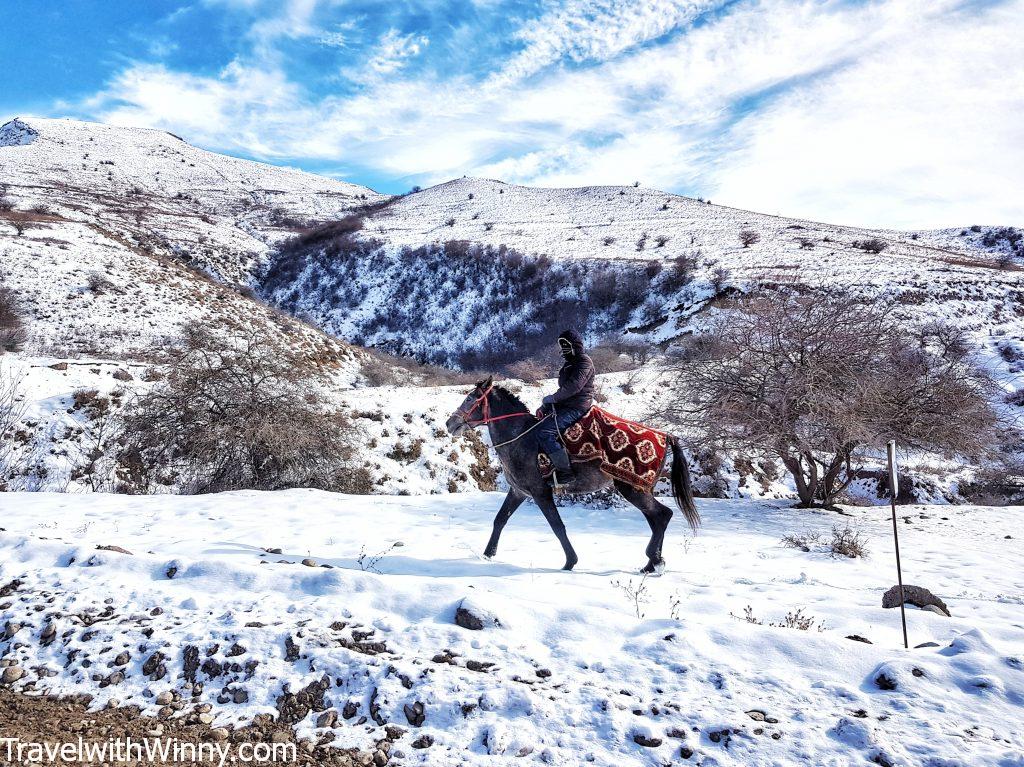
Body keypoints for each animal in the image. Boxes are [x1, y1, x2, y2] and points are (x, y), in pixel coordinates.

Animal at [444, 374, 700, 573]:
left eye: (470, 398)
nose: (450, 423)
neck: (522, 438)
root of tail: (666, 437)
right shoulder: (519, 491)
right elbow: (500, 520)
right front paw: (488, 554)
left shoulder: (540, 492)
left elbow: (557, 526)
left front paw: (570, 562)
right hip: (638, 490)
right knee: (657, 519)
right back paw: (653, 562)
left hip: (632, 488)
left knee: (662, 515)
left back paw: (653, 561)